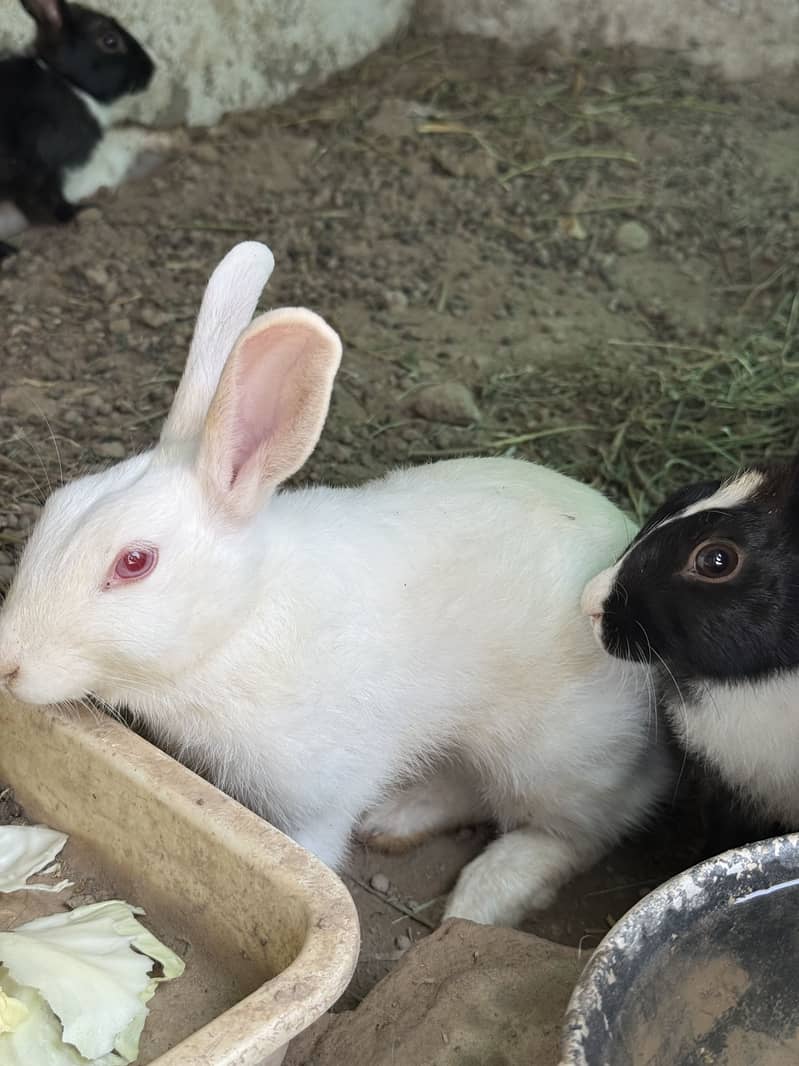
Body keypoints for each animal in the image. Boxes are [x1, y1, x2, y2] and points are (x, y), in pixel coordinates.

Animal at [0, 0, 170, 255]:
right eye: (109, 40)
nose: (151, 69)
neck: (67, 81)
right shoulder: (39, 169)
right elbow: (45, 200)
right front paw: (79, 214)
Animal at [0, 241, 672, 928]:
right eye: (55, 505)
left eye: (134, 562)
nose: (8, 662)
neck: (241, 623)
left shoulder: (317, 793)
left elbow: (312, 853)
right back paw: (395, 822)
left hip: (552, 756)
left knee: (581, 827)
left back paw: (481, 896)